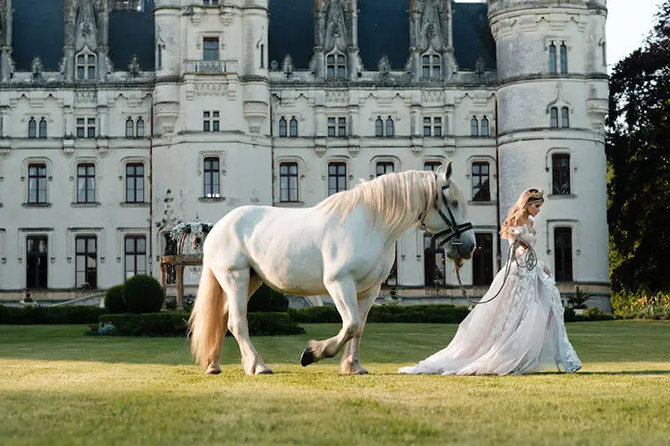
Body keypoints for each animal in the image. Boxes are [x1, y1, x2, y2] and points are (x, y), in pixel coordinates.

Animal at [189, 162, 478, 374]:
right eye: (453, 202)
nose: (469, 246)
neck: (371, 225)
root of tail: (219, 225)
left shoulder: (369, 291)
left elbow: (359, 328)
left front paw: (354, 366)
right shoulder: (339, 283)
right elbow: (350, 325)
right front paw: (312, 354)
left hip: (251, 281)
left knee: (223, 318)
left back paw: (213, 364)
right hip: (235, 277)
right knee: (237, 322)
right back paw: (258, 366)